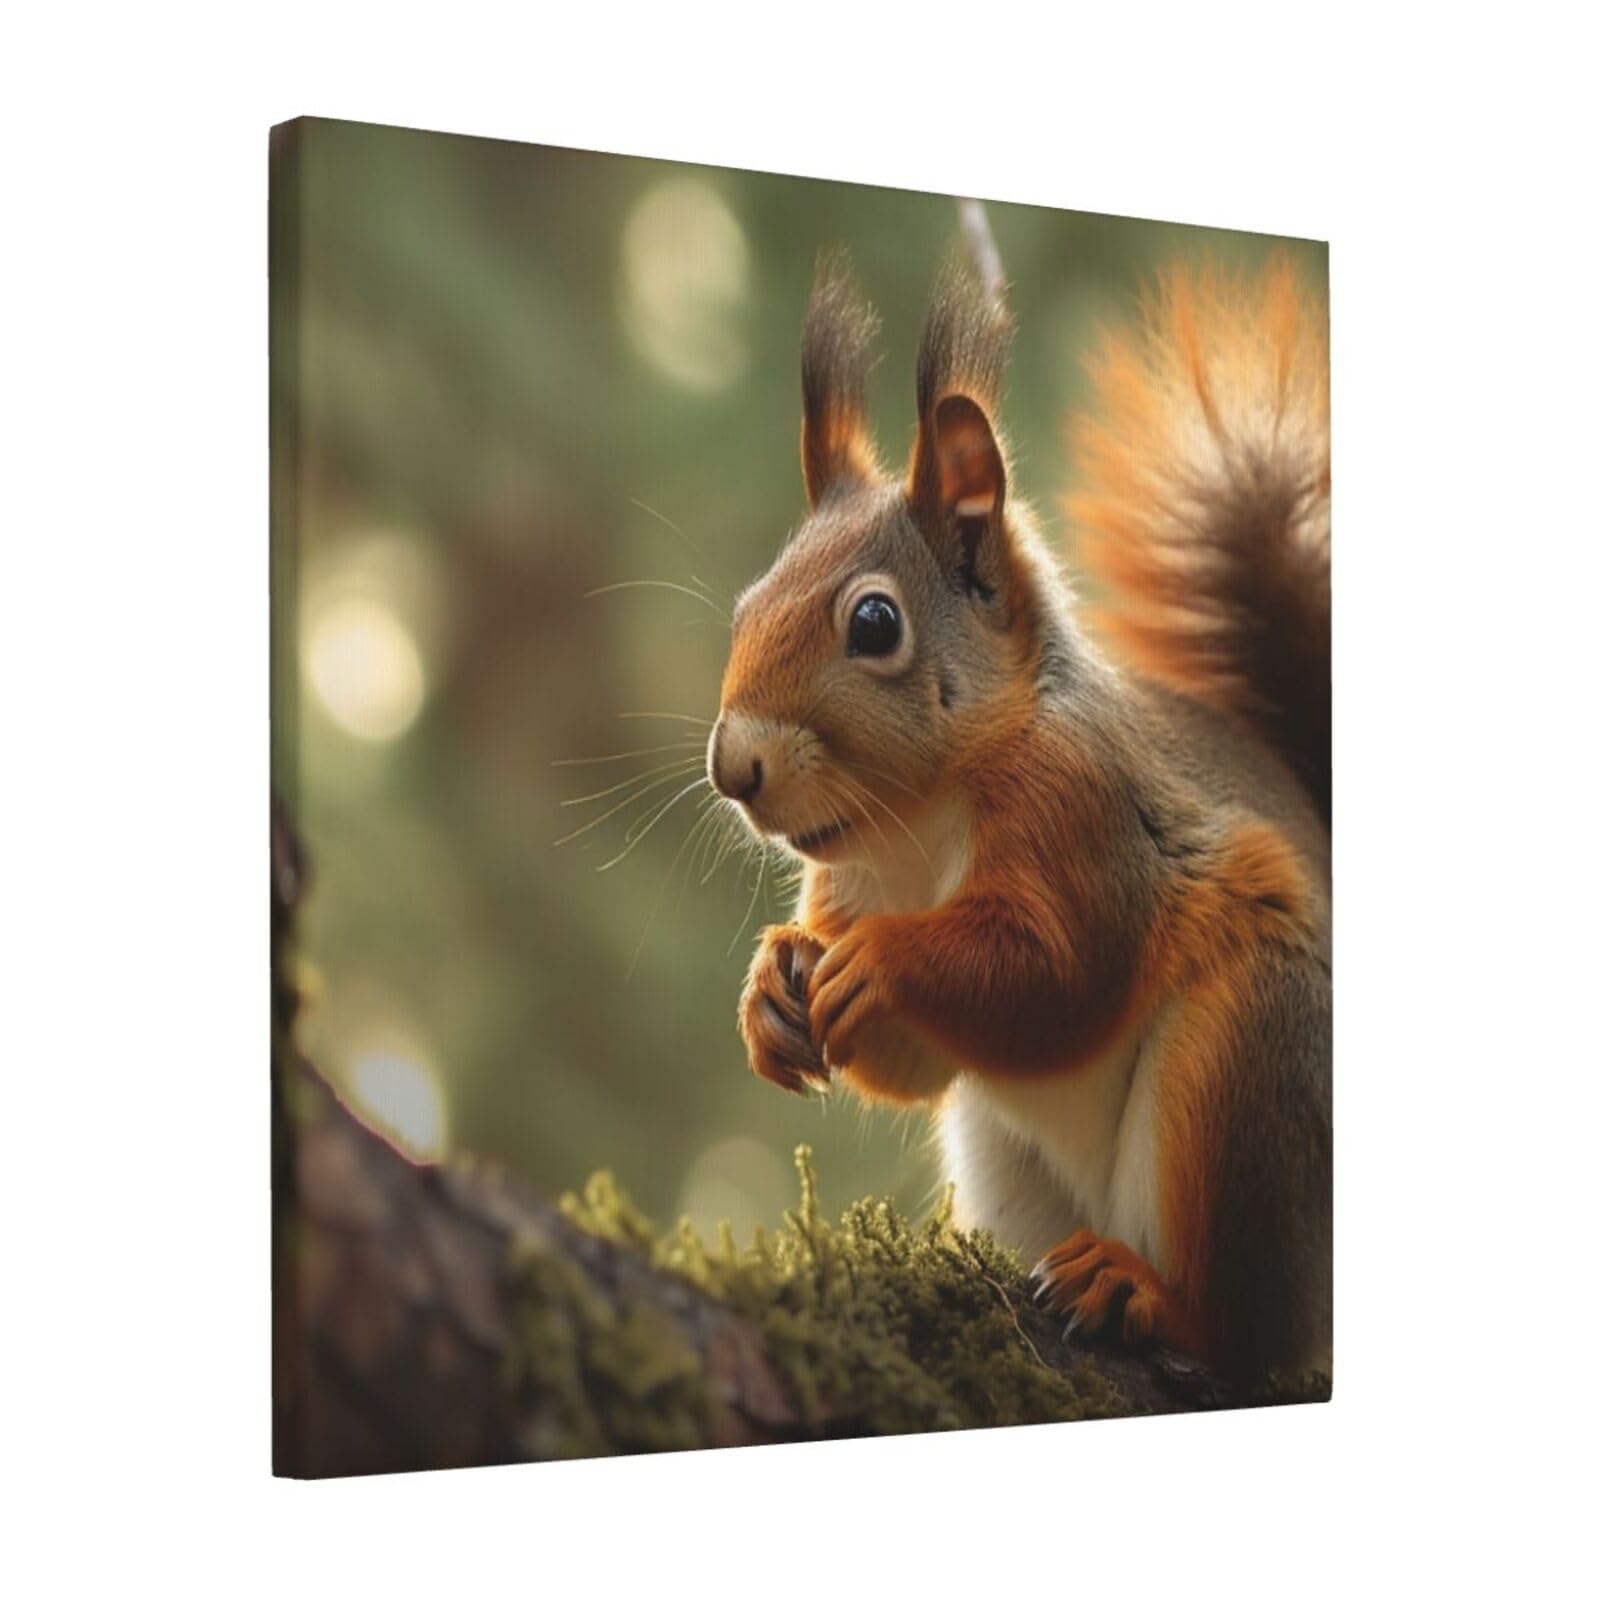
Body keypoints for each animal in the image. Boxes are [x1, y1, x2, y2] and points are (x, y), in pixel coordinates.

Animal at [705, 243, 1331, 1385]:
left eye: (874, 622)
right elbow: (916, 1062)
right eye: (746, 606)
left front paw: (880, 959)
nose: (734, 768)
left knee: (1247, 1328)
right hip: (1006, 1159)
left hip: (1249, 1071)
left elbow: (1054, 971)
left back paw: (1148, 1295)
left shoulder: (1086, 812)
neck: (919, 821)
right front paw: (773, 986)